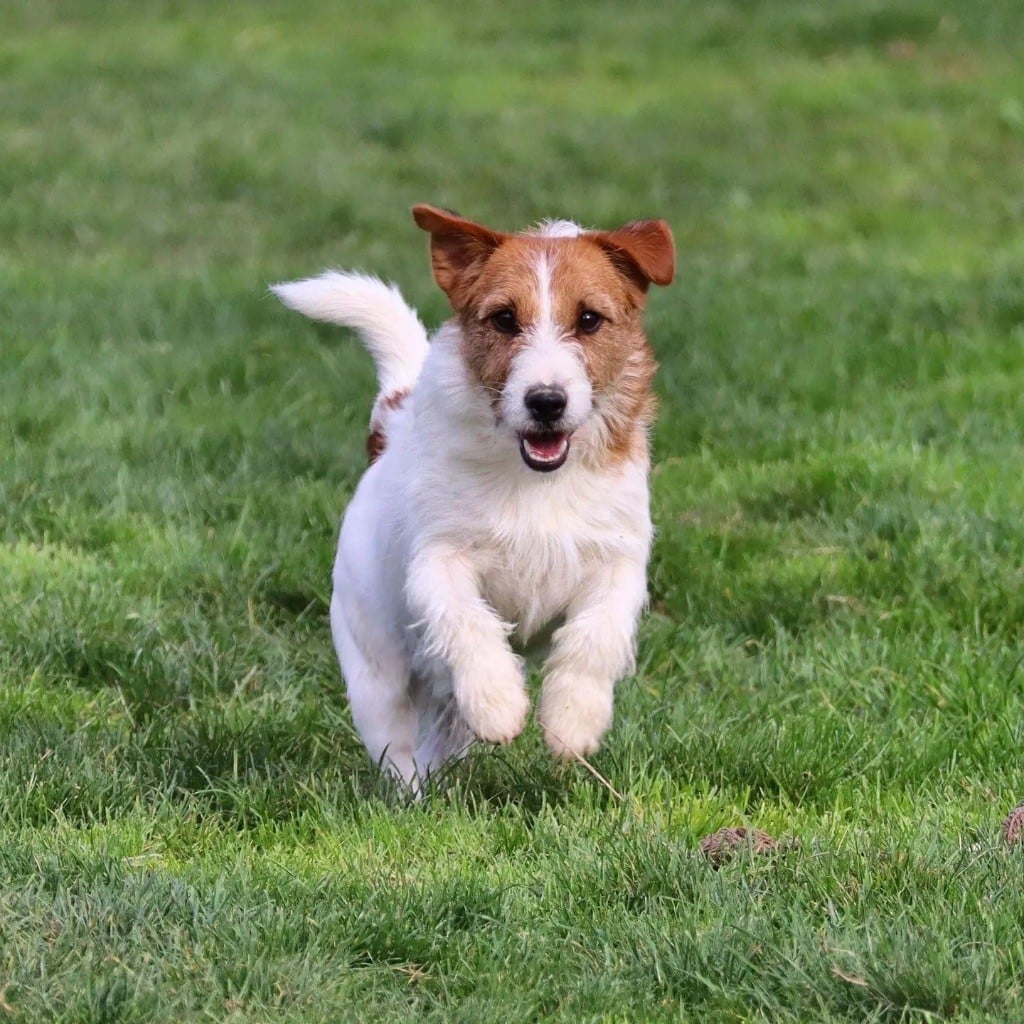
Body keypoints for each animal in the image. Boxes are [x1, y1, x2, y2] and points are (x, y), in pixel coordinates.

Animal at [273, 205, 674, 789]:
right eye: (504, 319)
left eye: (590, 319)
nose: (546, 401)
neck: (536, 480)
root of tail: (392, 429)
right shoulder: (439, 559)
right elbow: (467, 620)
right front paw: (498, 703)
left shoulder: (617, 560)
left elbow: (593, 637)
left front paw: (572, 720)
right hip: (374, 663)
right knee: (397, 742)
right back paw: (412, 790)